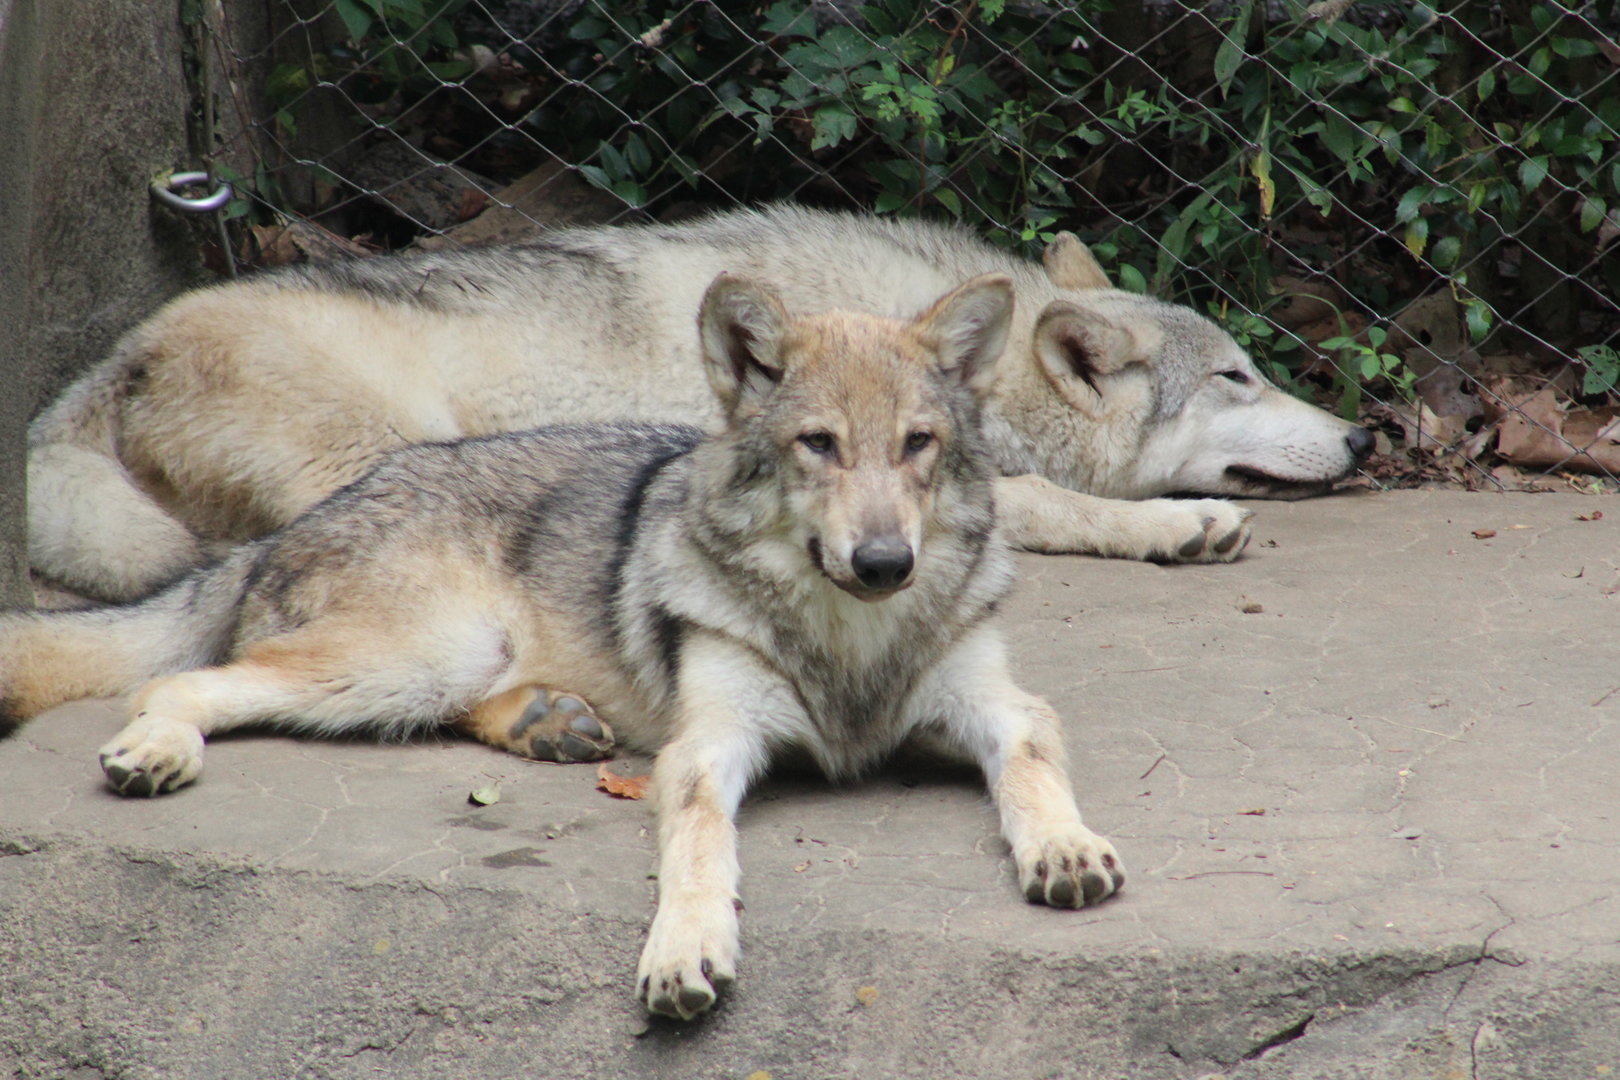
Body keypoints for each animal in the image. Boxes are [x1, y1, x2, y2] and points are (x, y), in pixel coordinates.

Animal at [2, 273, 1125, 1020]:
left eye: (916, 446)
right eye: (820, 446)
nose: (886, 560)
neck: (851, 642)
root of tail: (285, 529)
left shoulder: (998, 706)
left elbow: (1031, 767)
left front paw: (1064, 847)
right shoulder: (708, 746)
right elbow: (698, 848)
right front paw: (685, 948)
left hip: (434, 665)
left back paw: (548, 723)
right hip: (418, 655)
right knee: (184, 680)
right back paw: (156, 750)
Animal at [28, 205, 1372, 603]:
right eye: (1238, 375)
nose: (1365, 432)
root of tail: (114, 358)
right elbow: (1054, 504)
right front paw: (1174, 528)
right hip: (398, 456)